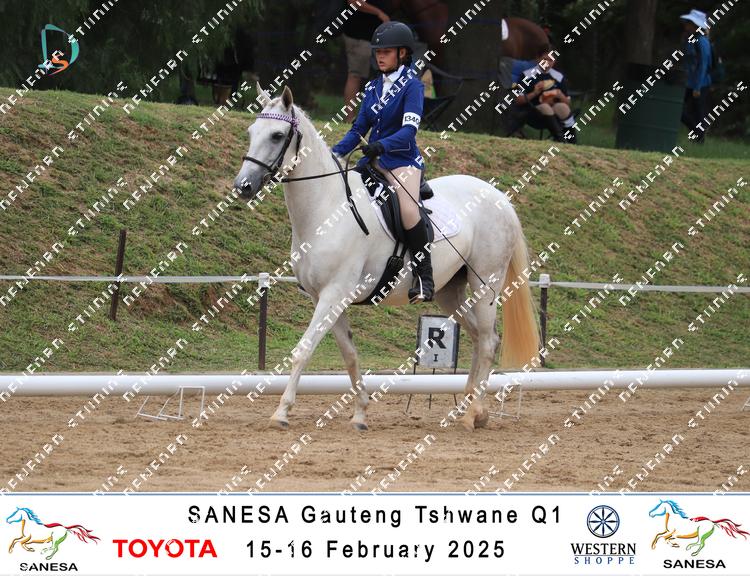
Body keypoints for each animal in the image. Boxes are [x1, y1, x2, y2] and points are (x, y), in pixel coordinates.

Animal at [233, 82, 540, 432]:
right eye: (251, 131)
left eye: (276, 135)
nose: (243, 186)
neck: (327, 208)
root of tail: (499, 197)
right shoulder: (324, 298)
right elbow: (350, 354)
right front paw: (360, 413)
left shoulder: (333, 294)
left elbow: (303, 349)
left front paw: (282, 412)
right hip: (450, 291)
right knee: (477, 338)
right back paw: (467, 408)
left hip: (485, 283)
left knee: (488, 341)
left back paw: (472, 414)